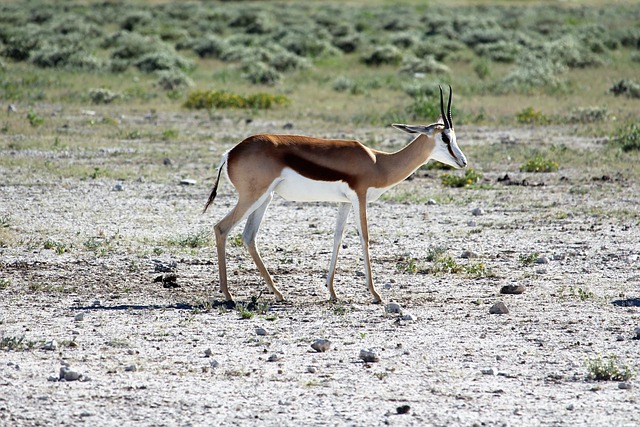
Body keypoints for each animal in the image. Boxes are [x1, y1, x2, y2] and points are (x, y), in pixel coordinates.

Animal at [204, 85, 464, 304]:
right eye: (445, 137)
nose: (463, 161)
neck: (378, 163)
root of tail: (230, 152)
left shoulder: (345, 203)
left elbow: (337, 238)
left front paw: (332, 292)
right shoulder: (360, 197)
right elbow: (365, 238)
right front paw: (375, 294)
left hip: (265, 199)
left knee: (249, 236)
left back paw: (278, 293)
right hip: (252, 197)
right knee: (221, 228)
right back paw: (228, 295)